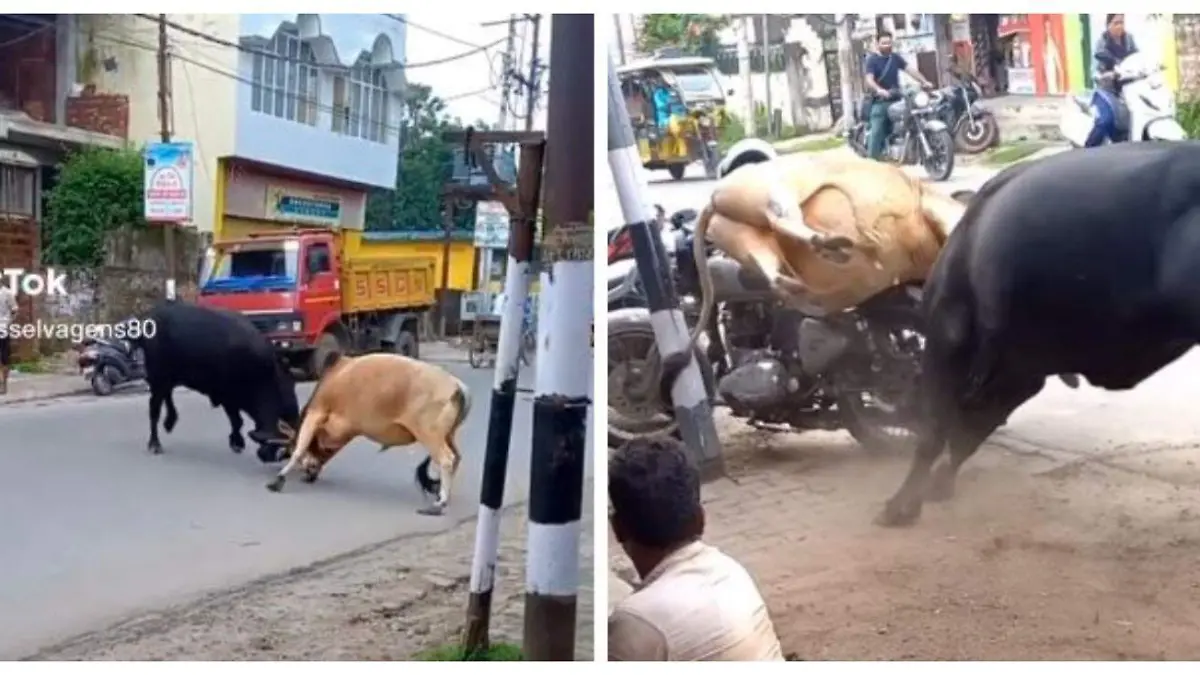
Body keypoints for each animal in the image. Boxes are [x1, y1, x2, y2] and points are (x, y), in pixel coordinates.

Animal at [137, 302, 300, 458]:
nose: (269, 456)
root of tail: (149, 319)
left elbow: (237, 421)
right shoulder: (227, 396)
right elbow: (237, 421)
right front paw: (237, 443)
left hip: (168, 377)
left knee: (167, 395)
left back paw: (170, 422)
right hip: (158, 376)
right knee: (154, 408)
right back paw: (155, 444)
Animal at [265, 348, 470, 511]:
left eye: (289, 446)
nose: (309, 473)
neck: (333, 378)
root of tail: (457, 386)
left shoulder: (316, 413)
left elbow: (300, 449)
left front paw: (278, 479)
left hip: (429, 434)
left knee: (446, 459)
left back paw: (440, 502)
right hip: (448, 435)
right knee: (457, 457)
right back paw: (442, 495)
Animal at [878, 139, 1200, 523]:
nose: (898, 405)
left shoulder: (949, 333)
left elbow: (936, 426)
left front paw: (901, 505)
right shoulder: (1022, 371)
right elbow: (970, 431)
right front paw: (939, 484)